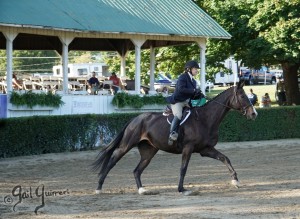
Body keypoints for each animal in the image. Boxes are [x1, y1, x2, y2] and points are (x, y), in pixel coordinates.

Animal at [92, 80, 258, 195]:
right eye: (242, 96)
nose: (254, 114)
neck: (205, 119)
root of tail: (135, 119)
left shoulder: (205, 149)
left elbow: (225, 158)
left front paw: (235, 180)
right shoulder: (188, 148)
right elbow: (183, 168)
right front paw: (181, 189)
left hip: (148, 151)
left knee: (137, 170)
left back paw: (142, 190)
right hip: (127, 145)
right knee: (113, 159)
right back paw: (99, 187)